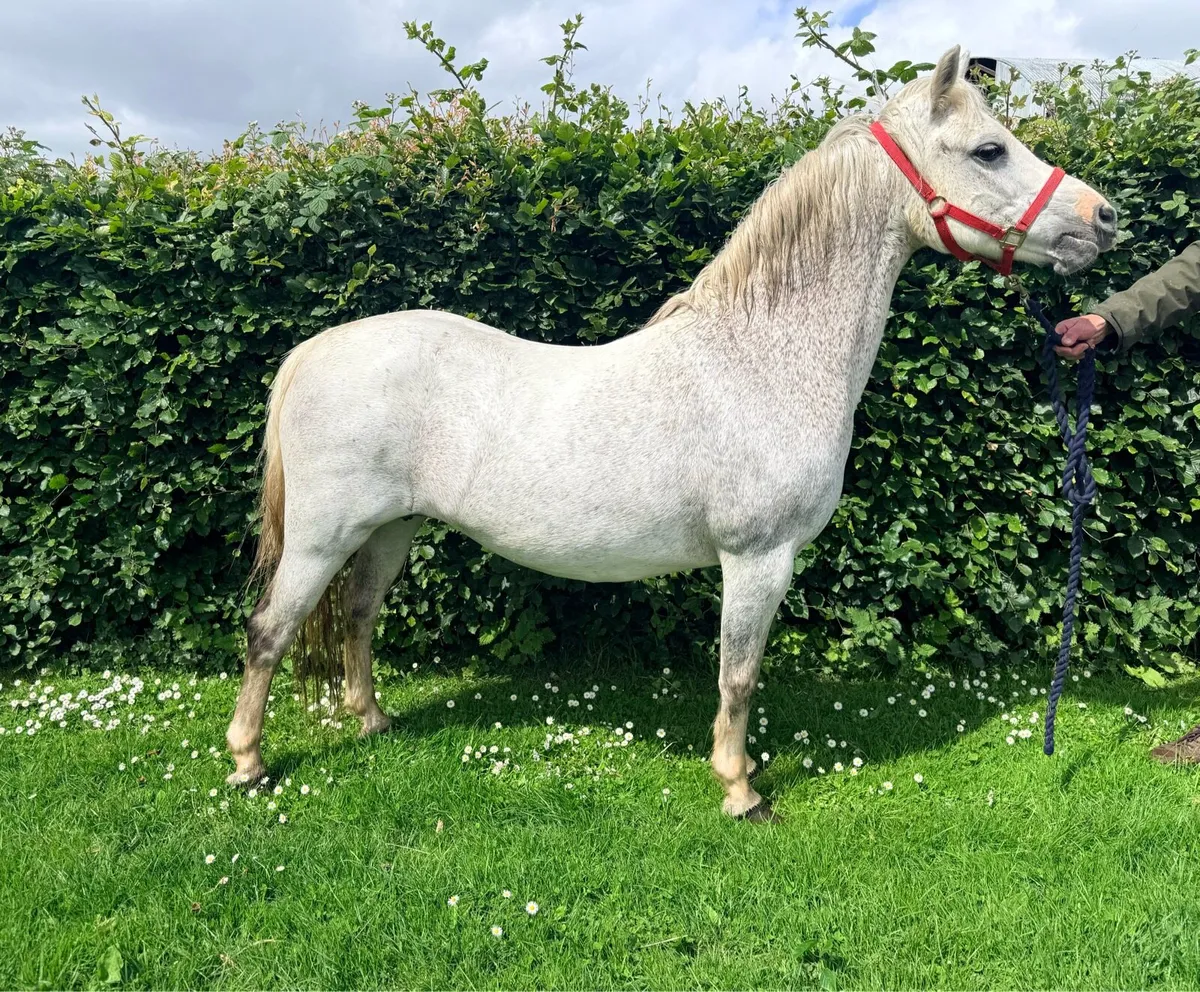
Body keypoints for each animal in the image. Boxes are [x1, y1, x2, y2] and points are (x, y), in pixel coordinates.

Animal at [225, 46, 1116, 820]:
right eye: (990, 150)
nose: (1103, 218)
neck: (762, 356)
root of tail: (315, 351)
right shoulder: (758, 559)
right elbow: (739, 677)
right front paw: (741, 789)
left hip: (390, 529)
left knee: (357, 616)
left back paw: (372, 722)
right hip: (323, 535)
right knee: (270, 630)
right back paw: (248, 763)